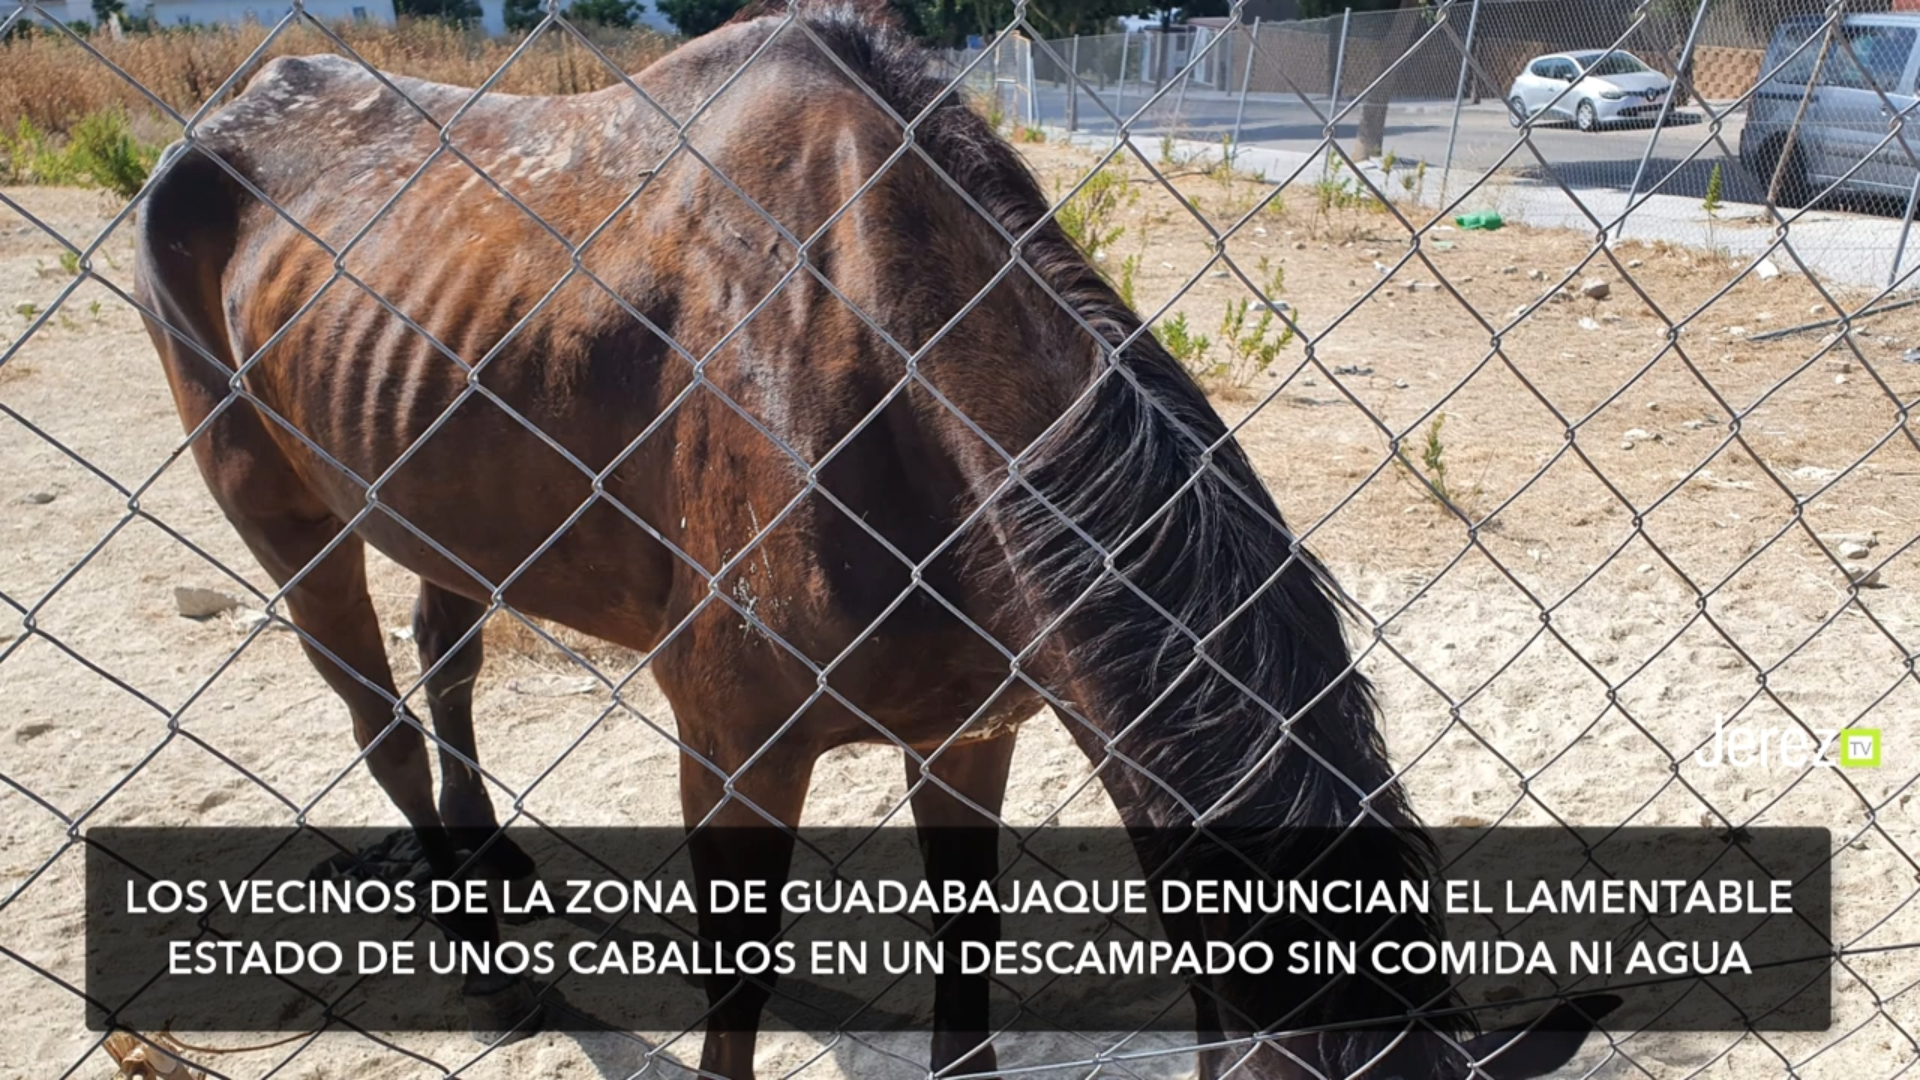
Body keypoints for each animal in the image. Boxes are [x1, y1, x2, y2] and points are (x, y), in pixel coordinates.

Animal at [133, 6, 1615, 1077]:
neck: (872, 369)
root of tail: (224, 116)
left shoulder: (971, 731)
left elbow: (967, 956)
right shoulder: (733, 753)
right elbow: (734, 997)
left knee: (446, 658)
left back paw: (491, 865)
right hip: (281, 514)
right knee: (375, 716)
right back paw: (487, 970)